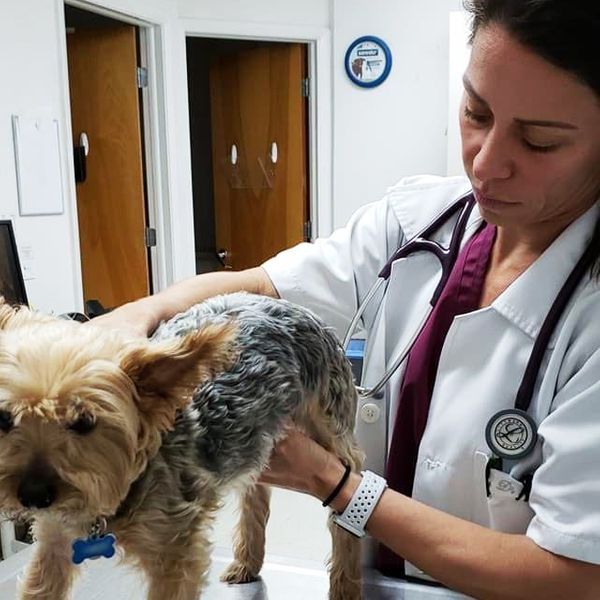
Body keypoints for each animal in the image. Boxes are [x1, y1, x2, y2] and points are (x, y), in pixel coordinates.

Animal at [0, 292, 360, 596]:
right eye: (4, 418)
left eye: (84, 422)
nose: (33, 495)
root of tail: (300, 310)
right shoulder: (54, 537)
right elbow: (41, 582)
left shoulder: (175, 549)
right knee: (256, 489)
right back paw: (248, 560)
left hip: (329, 419)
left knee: (348, 488)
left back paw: (345, 585)